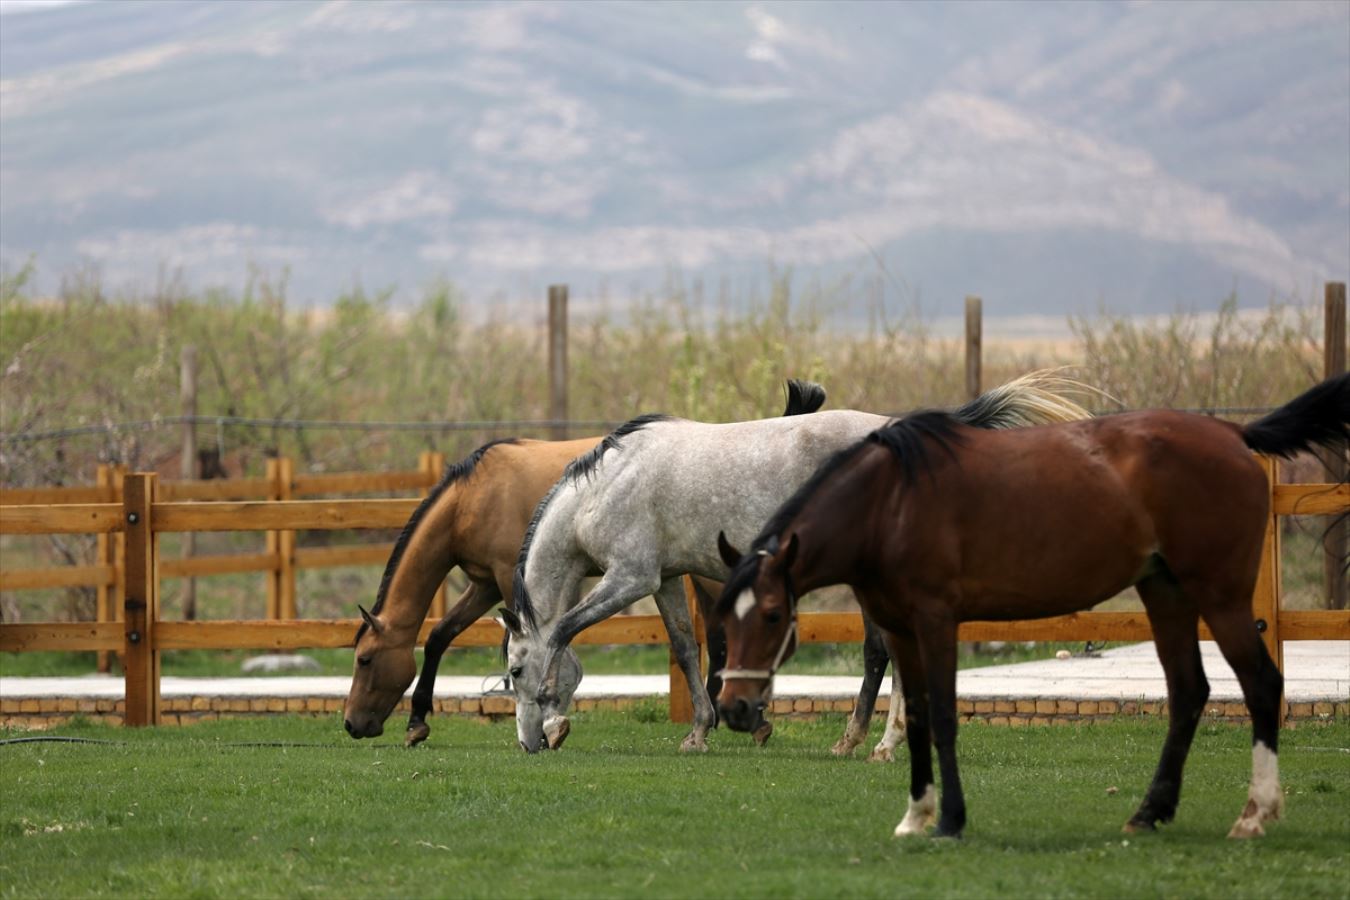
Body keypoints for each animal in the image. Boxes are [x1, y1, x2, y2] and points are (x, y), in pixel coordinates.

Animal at [502, 372, 1090, 755]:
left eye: (513, 670)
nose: (528, 745)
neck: (603, 489)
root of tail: (898, 433)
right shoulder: (662, 580)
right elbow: (686, 650)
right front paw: (699, 730)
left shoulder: (628, 579)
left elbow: (564, 630)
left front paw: (554, 716)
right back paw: (856, 740)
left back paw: (882, 743)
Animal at [712, 375, 1344, 847]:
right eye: (725, 618)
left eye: (773, 615)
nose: (737, 709)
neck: (890, 500)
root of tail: (1235, 433)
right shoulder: (901, 628)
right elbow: (916, 716)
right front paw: (915, 815)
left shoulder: (936, 622)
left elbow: (943, 715)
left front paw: (949, 820)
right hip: (1165, 595)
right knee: (1190, 691)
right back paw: (1149, 812)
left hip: (1221, 596)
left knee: (1261, 684)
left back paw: (1254, 815)